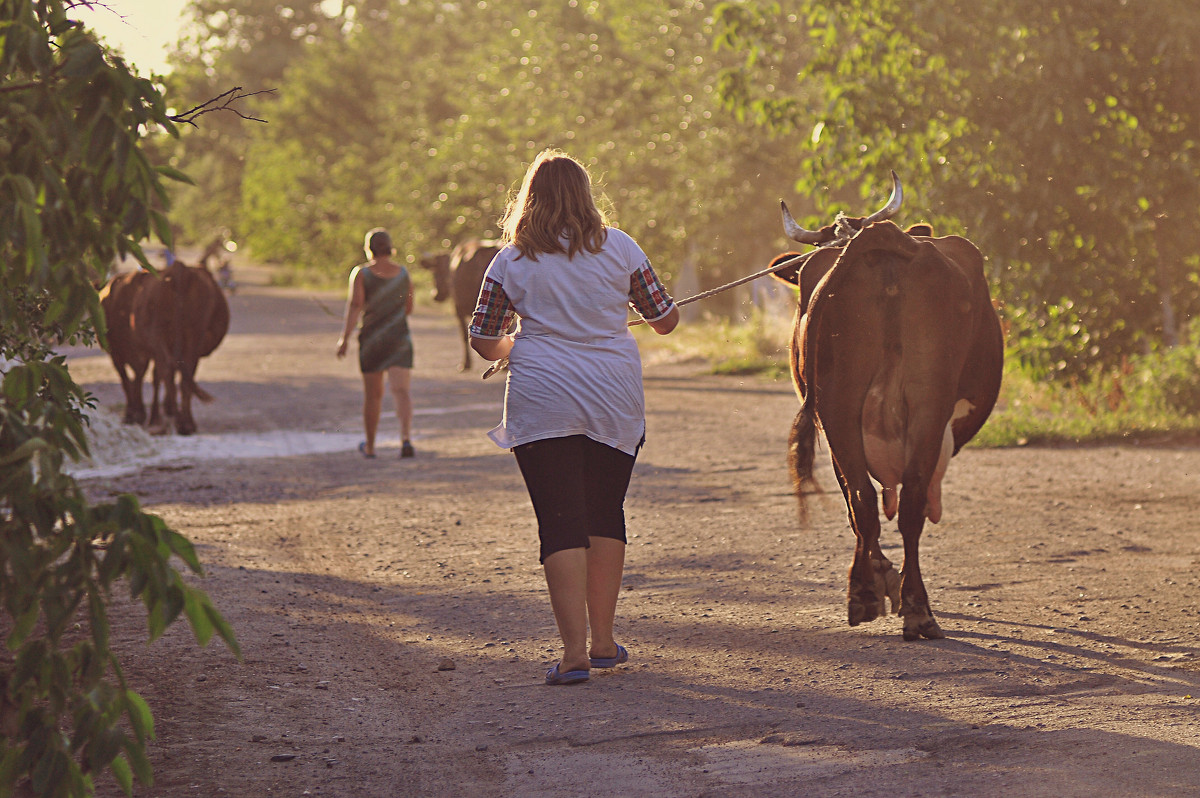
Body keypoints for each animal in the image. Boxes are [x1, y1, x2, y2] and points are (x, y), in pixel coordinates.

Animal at [768, 174, 1003, 643]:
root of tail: (876, 241)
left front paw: (880, 576)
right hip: (920, 402)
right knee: (901, 502)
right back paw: (913, 607)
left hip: (840, 406)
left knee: (864, 499)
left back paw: (867, 596)